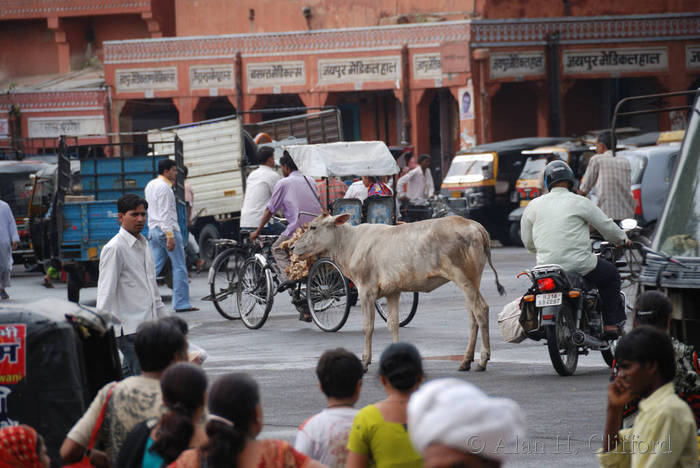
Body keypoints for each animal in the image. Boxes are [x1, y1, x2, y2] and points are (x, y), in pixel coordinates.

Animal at [293, 213, 505, 372]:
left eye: (313, 227)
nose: (293, 246)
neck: (350, 245)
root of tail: (474, 225)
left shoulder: (366, 290)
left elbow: (368, 327)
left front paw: (365, 361)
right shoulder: (392, 291)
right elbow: (393, 325)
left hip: (464, 278)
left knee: (481, 310)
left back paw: (482, 360)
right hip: (472, 281)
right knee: (472, 317)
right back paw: (466, 361)